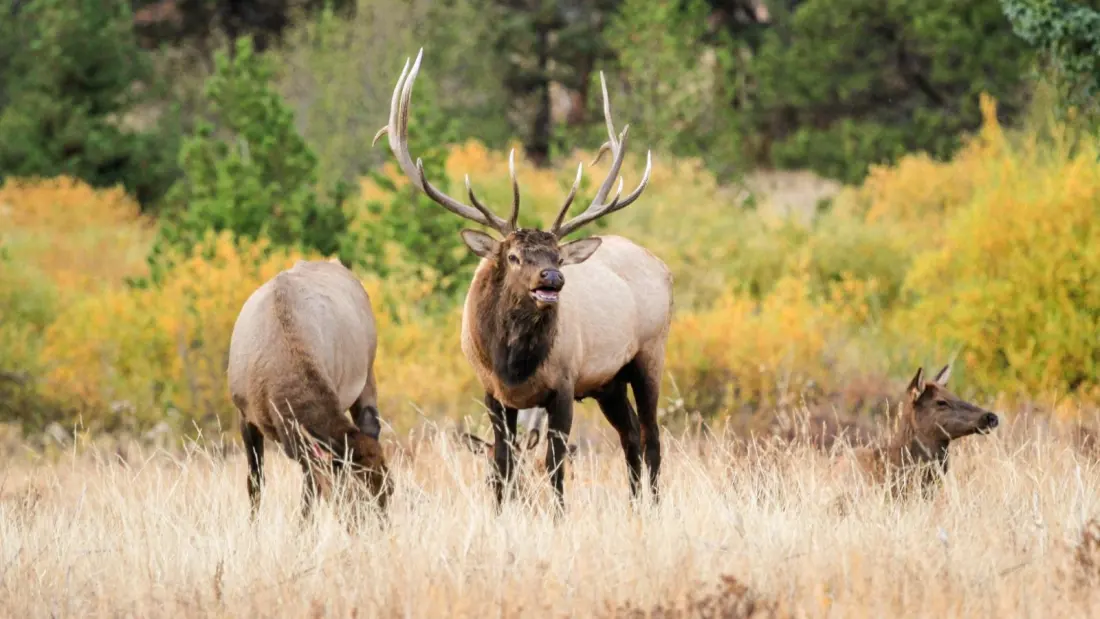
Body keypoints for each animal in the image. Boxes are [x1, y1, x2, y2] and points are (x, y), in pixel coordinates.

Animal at [227, 258, 393, 521]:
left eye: (389, 489)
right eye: (353, 493)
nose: (381, 526)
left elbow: (310, 492)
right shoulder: (246, 415)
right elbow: (255, 482)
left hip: (367, 372)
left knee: (370, 422)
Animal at [373, 49, 673, 511]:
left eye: (559, 256)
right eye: (513, 256)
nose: (552, 278)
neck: (513, 365)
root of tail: (662, 266)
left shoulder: (564, 385)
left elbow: (554, 465)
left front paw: (559, 514)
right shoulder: (492, 392)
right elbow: (501, 464)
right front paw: (501, 511)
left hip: (649, 354)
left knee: (652, 436)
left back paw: (652, 507)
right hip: (608, 382)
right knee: (631, 438)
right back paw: (634, 505)